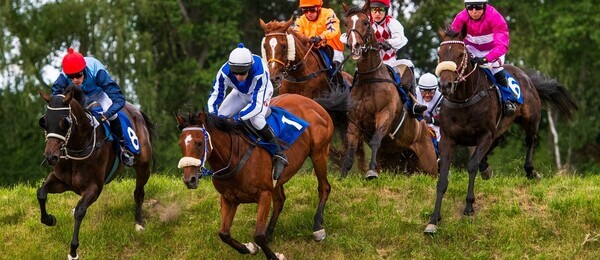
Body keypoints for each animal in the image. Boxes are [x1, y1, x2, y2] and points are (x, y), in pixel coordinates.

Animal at [37, 85, 155, 258]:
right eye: (44, 122)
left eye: (64, 122)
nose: (51, 157)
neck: (78, 146)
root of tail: (137, 111)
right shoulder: (60, 181)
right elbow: (41, 193)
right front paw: (49, 219)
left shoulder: (94, 187)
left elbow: (80, 210)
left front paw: (73, 251)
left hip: (143, 166)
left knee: (139, 193)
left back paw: (139, 223)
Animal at [176, 94, 336, 260]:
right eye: (181, 144)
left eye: (199, 143)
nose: (189, 180)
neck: (234, 157)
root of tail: (312, 102)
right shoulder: (228, 198)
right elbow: (224, 234)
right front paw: (250, 248)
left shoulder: (264, 194)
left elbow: (258, 235)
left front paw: (274, 255)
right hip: (278, 178)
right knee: (280, 201)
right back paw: (269, 234)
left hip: (319, 153)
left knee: (324, 187)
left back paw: (317, 228)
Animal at [340, 3, 438, 179]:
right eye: (346, 23)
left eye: (366, 22)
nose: (355, 46)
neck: (370, 79)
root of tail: (426, 131)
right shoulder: (354, 120)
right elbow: (350, 150)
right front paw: (342, 175)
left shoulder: (385, 113)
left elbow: (376, 139)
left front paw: (371, 171)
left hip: (429, 165)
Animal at [424, 27, 580, 234]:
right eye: (439, 54)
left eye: (460, 54)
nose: (445, 85)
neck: (464, 100)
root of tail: (525, 75)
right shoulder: (448, 139)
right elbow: (442, 179)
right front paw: (434, 219)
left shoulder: (484, 135)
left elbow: (471, 165)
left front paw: (469, 206)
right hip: (500, 127)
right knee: (498, 142)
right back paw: (487, 168)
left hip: (530, 119)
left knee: (531, 140)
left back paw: (530, 171)